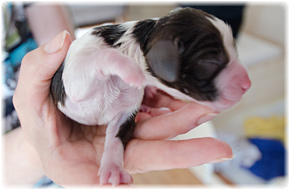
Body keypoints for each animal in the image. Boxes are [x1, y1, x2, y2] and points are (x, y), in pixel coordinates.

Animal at [51, 7, 250, 186]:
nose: (247, 84)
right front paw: (131, 68)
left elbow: (116, 141)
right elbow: (102, 56)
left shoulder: (124, 114)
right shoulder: (74, 83)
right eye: (210, 62)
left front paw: (113, 169)